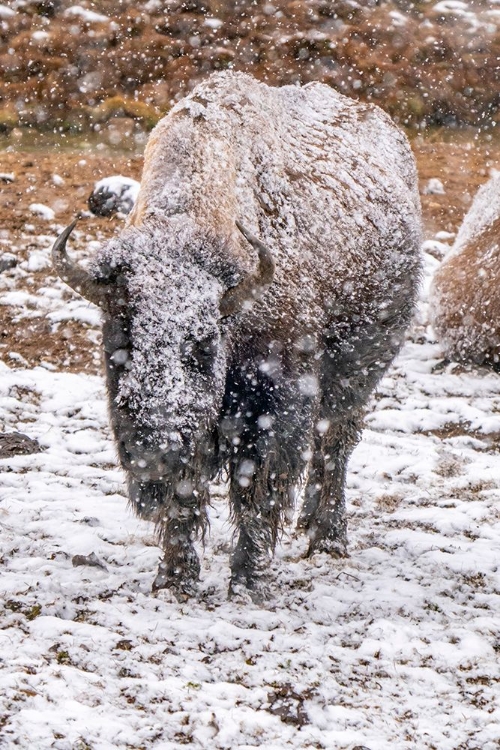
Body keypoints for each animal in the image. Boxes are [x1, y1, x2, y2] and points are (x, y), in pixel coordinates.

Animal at [51, 70, 422, 600]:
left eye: (203, 345)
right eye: (121, 343)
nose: (155, 451)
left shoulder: (271, 405)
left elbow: (255, 492)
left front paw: (249, 583)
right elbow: (186, 499)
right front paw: (174, 581)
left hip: (359, 368)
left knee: (336, 443)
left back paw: (327, 539)